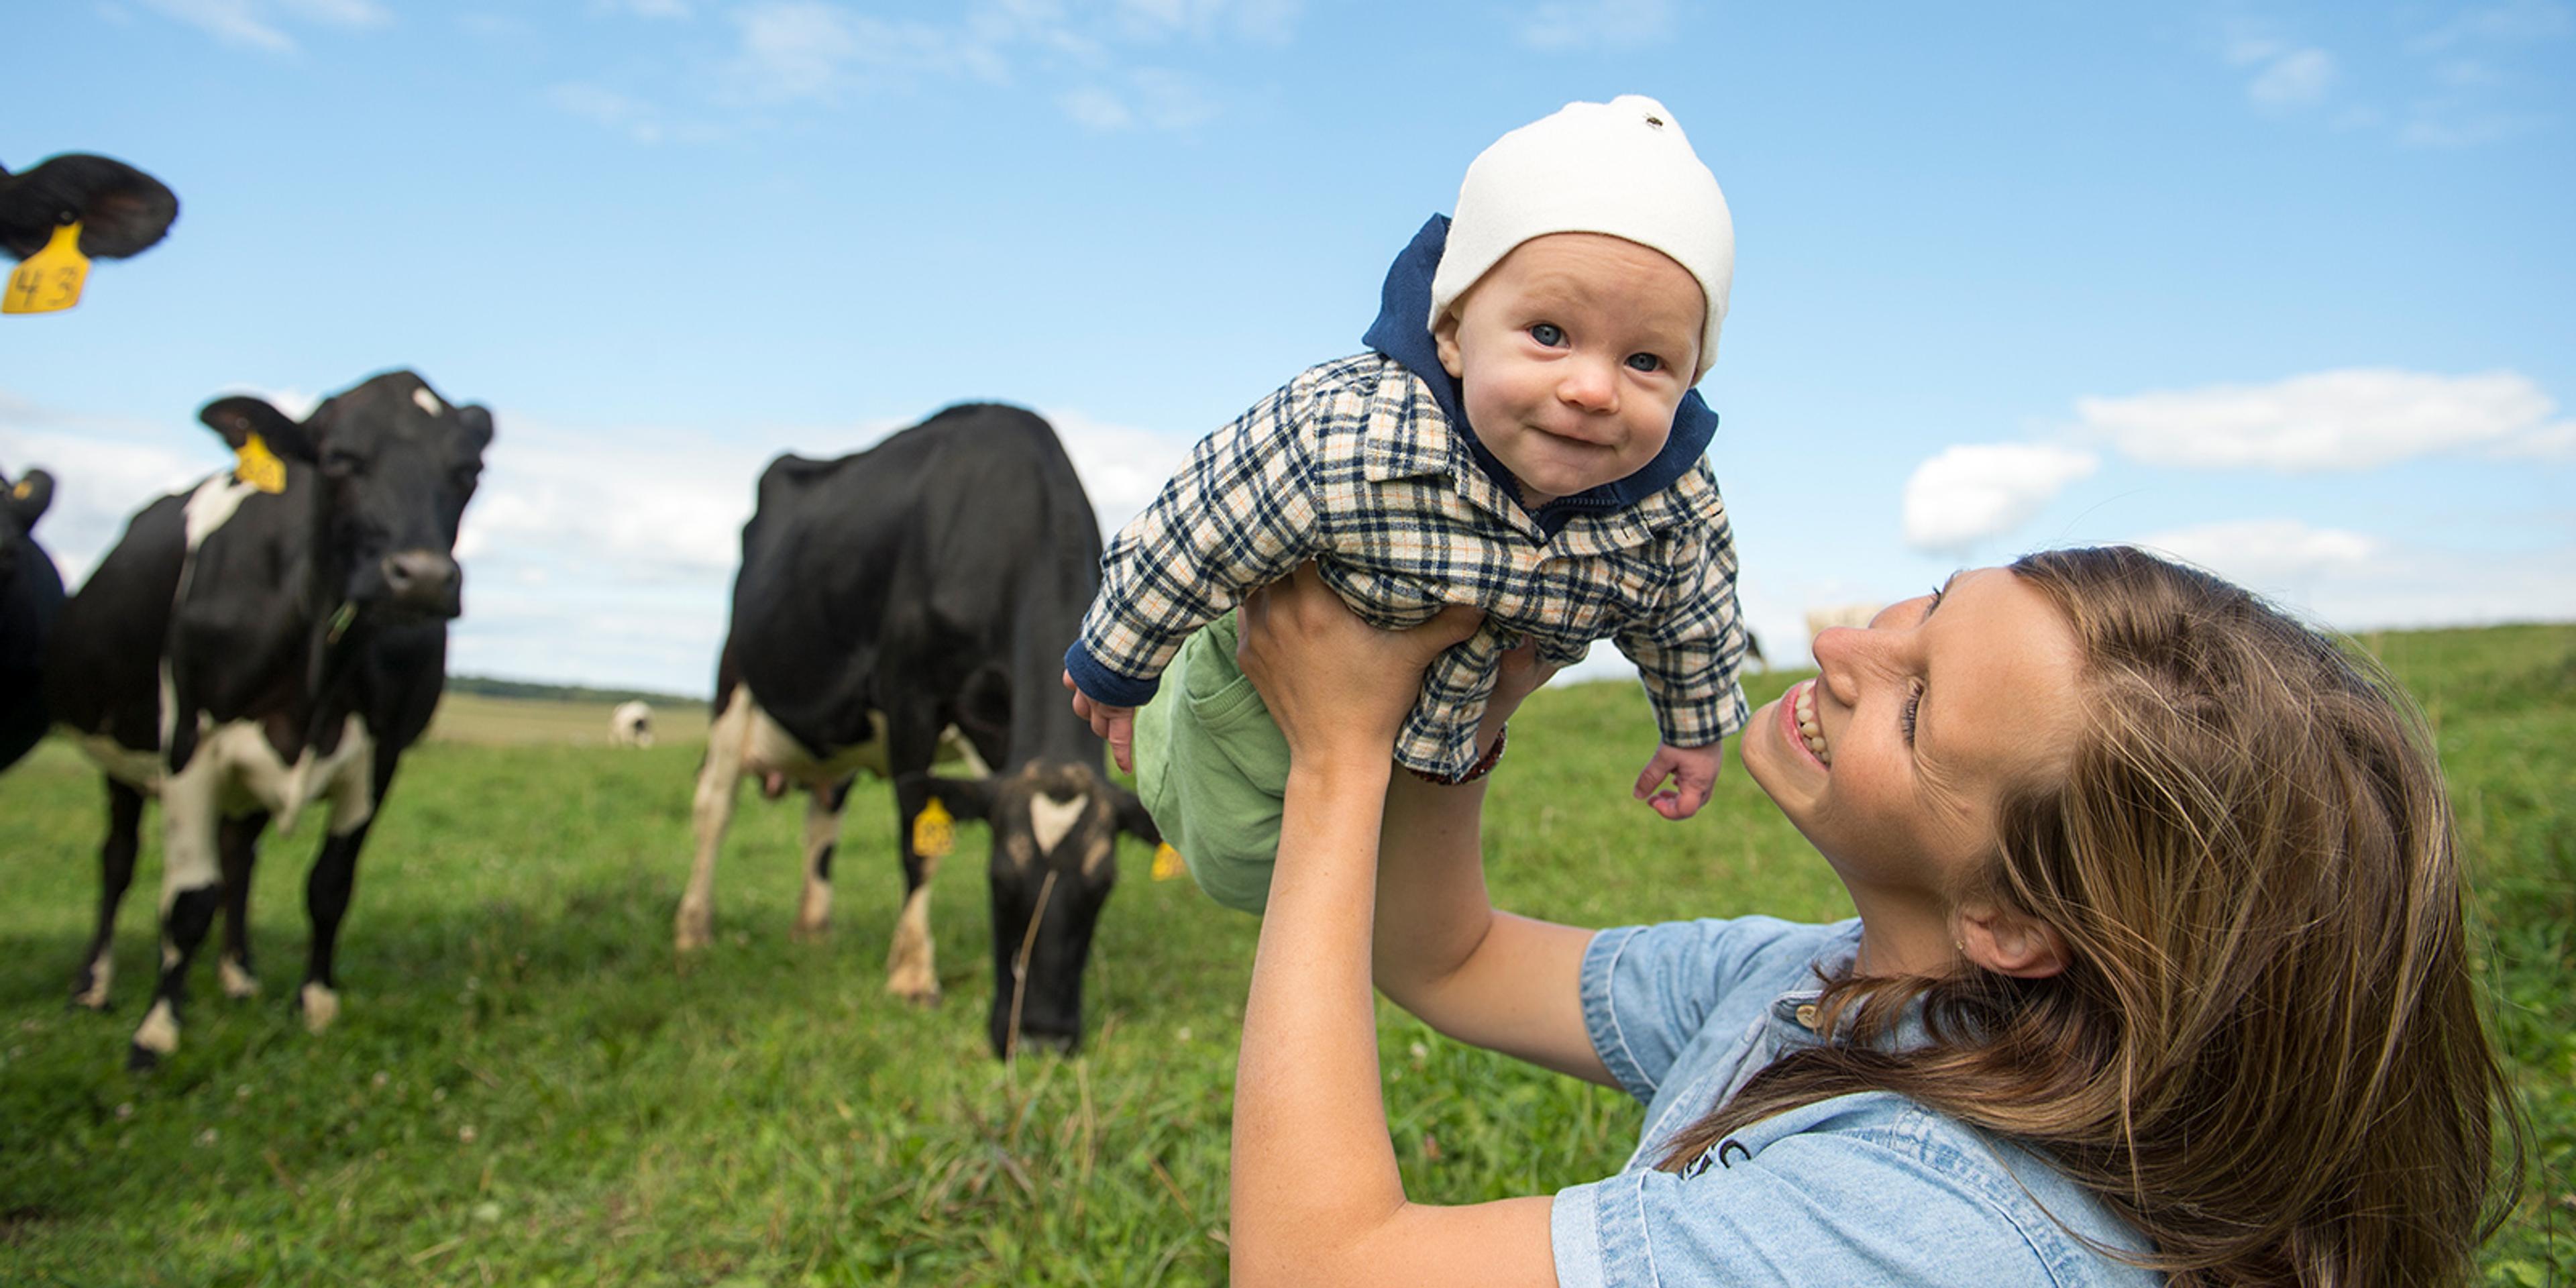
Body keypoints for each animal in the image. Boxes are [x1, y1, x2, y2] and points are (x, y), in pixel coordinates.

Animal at [48, 370, 492, 1066]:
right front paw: (156, 1031)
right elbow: (186, 900)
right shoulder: (190, 745)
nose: (421, 579)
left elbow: (329, 887)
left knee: (239, 858)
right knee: (119, 861)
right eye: (339, 458)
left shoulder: (381, 755)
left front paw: (317, 1005)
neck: (319, 655)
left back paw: (239, 976)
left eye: (468, 470)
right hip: (120, 756)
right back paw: (93, 986)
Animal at [685, 402, 1169, 1056]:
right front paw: (913, 975)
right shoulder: (909, 696)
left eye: (1104, 885)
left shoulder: (998, 731)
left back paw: (813, 930)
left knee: (823, 818)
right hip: (734, 681)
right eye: (999, 878)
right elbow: (919, 841)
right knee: (714, 809)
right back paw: (694, 930)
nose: (1041, 1038)